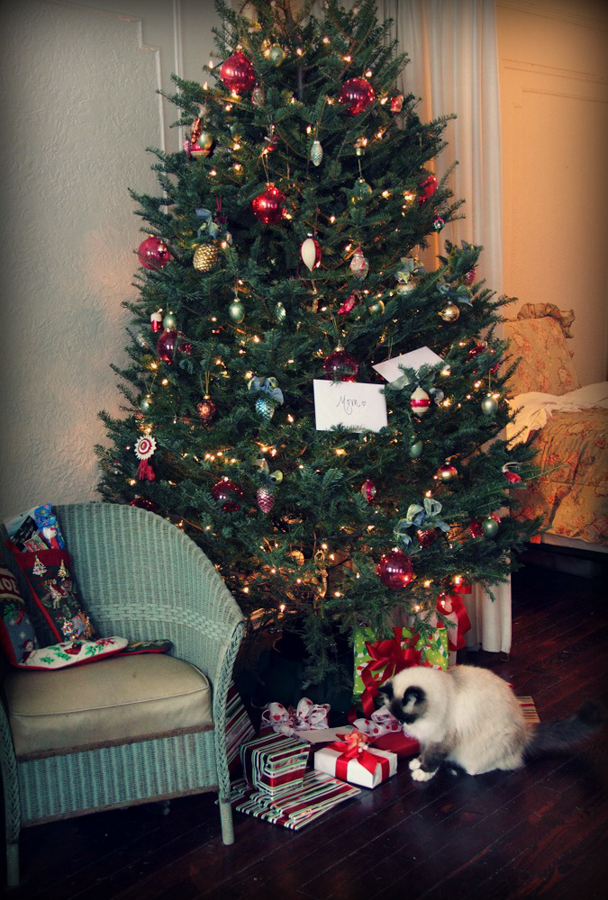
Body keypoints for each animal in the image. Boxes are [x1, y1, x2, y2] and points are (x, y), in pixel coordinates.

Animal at [379, 665, 602, 781]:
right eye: (396, 717)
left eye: (407, 717)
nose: (404, 726)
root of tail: (525, 733)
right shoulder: (430, 737)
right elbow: (425, 751)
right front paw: (417, 762)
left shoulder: (443, 738)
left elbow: (434, 758)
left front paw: (422, 773)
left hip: (482, 749)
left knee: (501, 765)